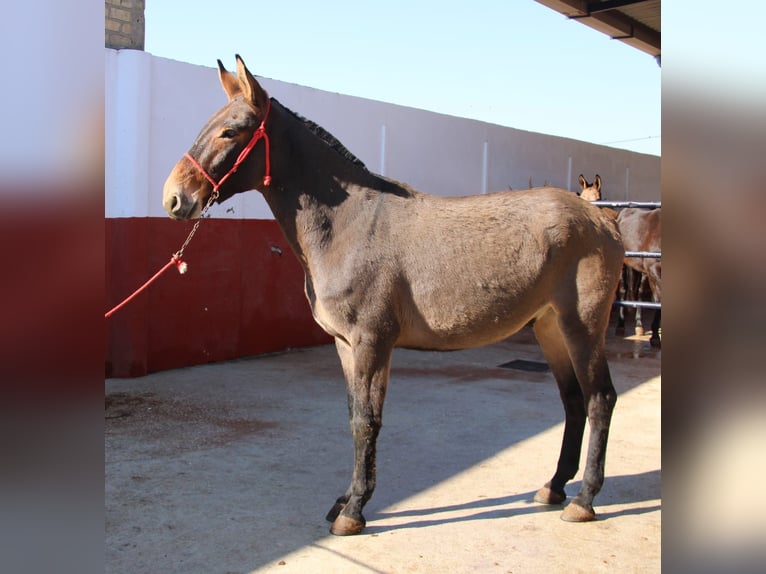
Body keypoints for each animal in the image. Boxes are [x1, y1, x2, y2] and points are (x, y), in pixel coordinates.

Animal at [162, 55, 625, 535]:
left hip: (582, 327)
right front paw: (347, 498)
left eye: (230, 131)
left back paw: (584, 499)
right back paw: (554, 487)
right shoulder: (347, 345)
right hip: (550, 328)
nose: (174, 198)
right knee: (573, 401)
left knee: (600, 399)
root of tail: (602, 219)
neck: (349, 224)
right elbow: (356, 416)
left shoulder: (372, 342)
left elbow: (366, 422)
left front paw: (353, 511)